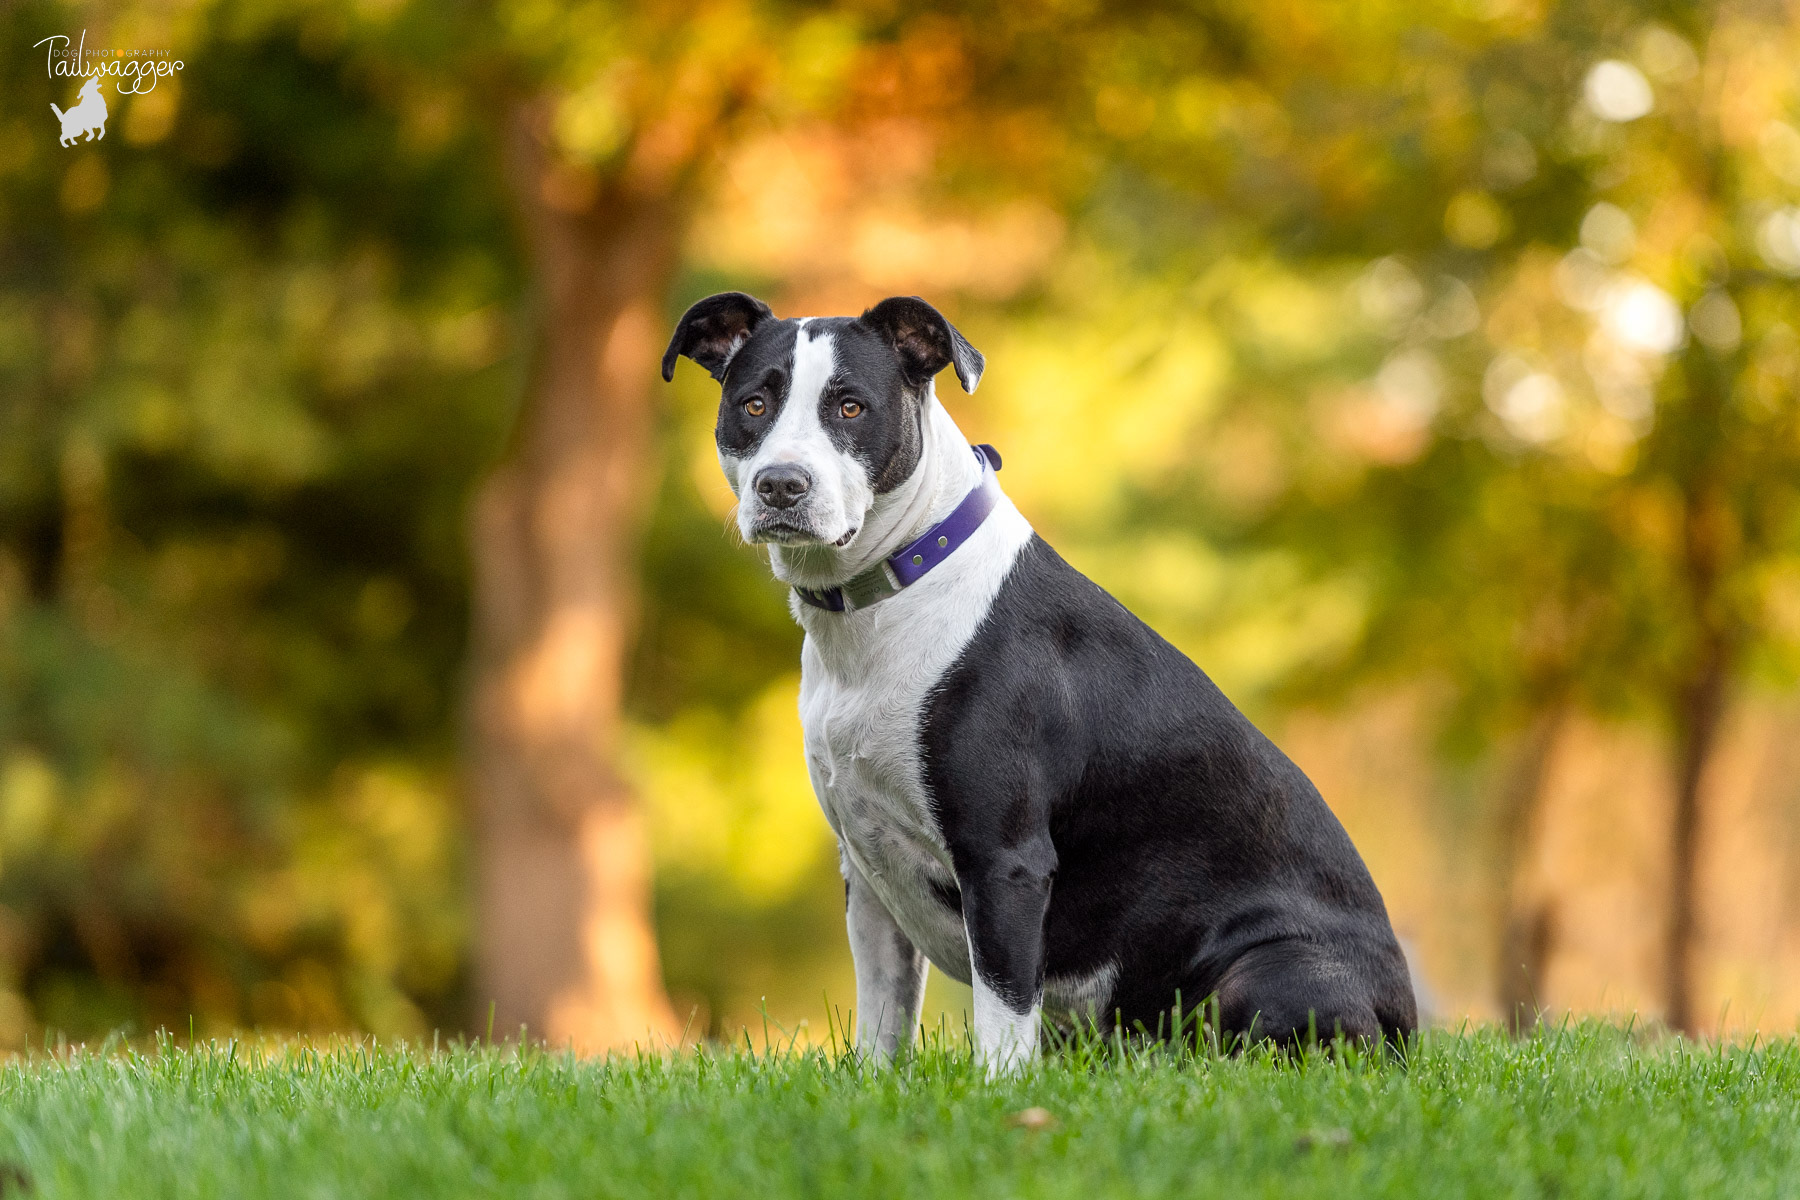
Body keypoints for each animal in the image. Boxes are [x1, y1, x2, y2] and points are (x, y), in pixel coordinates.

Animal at [662, 291, 1418, 1072]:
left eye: (850, 407)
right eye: (753, 405)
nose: (781, 485)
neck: (892, 590)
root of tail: (1406, 1021)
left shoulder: (1004, 862)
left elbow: (1001, 1007)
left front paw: (995, 1088)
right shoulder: (868, 871)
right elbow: (883, 1012)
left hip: (1270, 970)